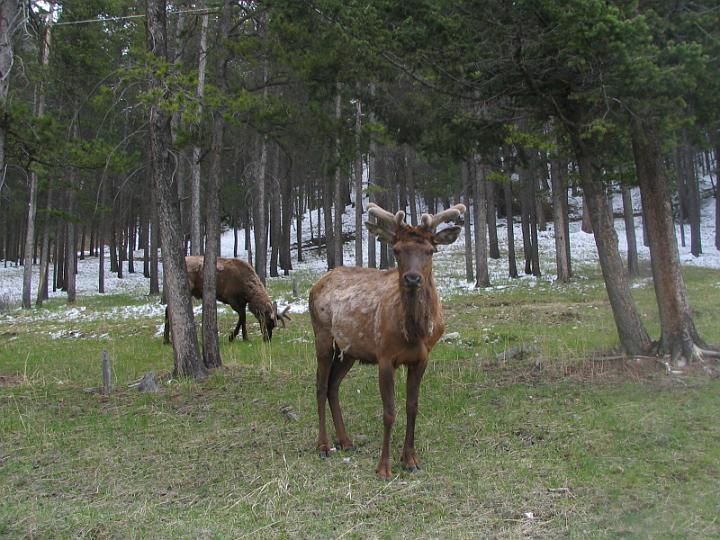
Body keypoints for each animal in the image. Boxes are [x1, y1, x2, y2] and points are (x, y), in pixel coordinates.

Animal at [310, 201, 466, 476]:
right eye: (396, 250)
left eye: (430, 250)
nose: (412, 278)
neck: (414, 333)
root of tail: (315, 285)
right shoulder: (384, 356)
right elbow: (389, 412)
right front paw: (384, 467)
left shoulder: (421, 359)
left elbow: (412, 407)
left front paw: (411, 460)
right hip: (322, 335)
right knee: (320, 386)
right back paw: (324, 445)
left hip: (349, 351)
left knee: (333, 385)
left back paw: (346, 441)